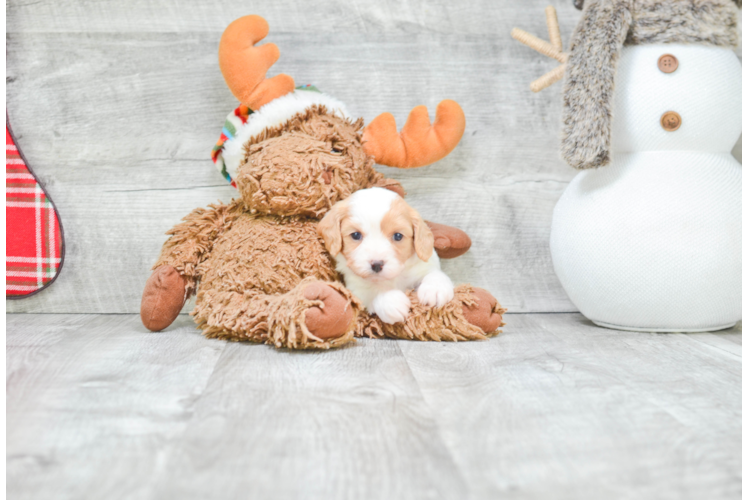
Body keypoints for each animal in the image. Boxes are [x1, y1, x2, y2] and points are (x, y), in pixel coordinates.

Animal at [318, 188, 452, 324]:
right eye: (355, 235)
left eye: (398, 236)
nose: (377, 265)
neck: (393, 278)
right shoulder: (356, 288)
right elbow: (373, 291)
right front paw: (391, 301)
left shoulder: (422, 266)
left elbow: (433, 273)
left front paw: (435, 289)